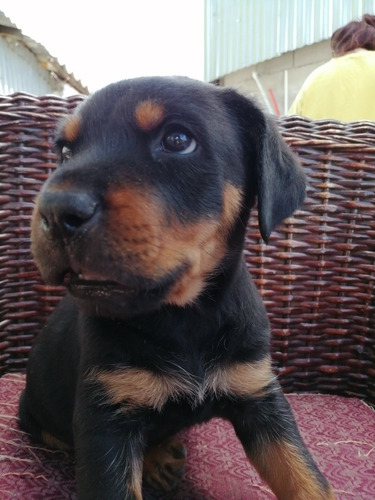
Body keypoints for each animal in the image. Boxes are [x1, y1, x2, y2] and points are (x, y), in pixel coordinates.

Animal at [18, 76, 334, 498]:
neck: (184, 317)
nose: (54, 211)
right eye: (65, 152)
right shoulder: (105, 420)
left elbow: (305, 476)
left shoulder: (259, 394)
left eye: (178, 140)